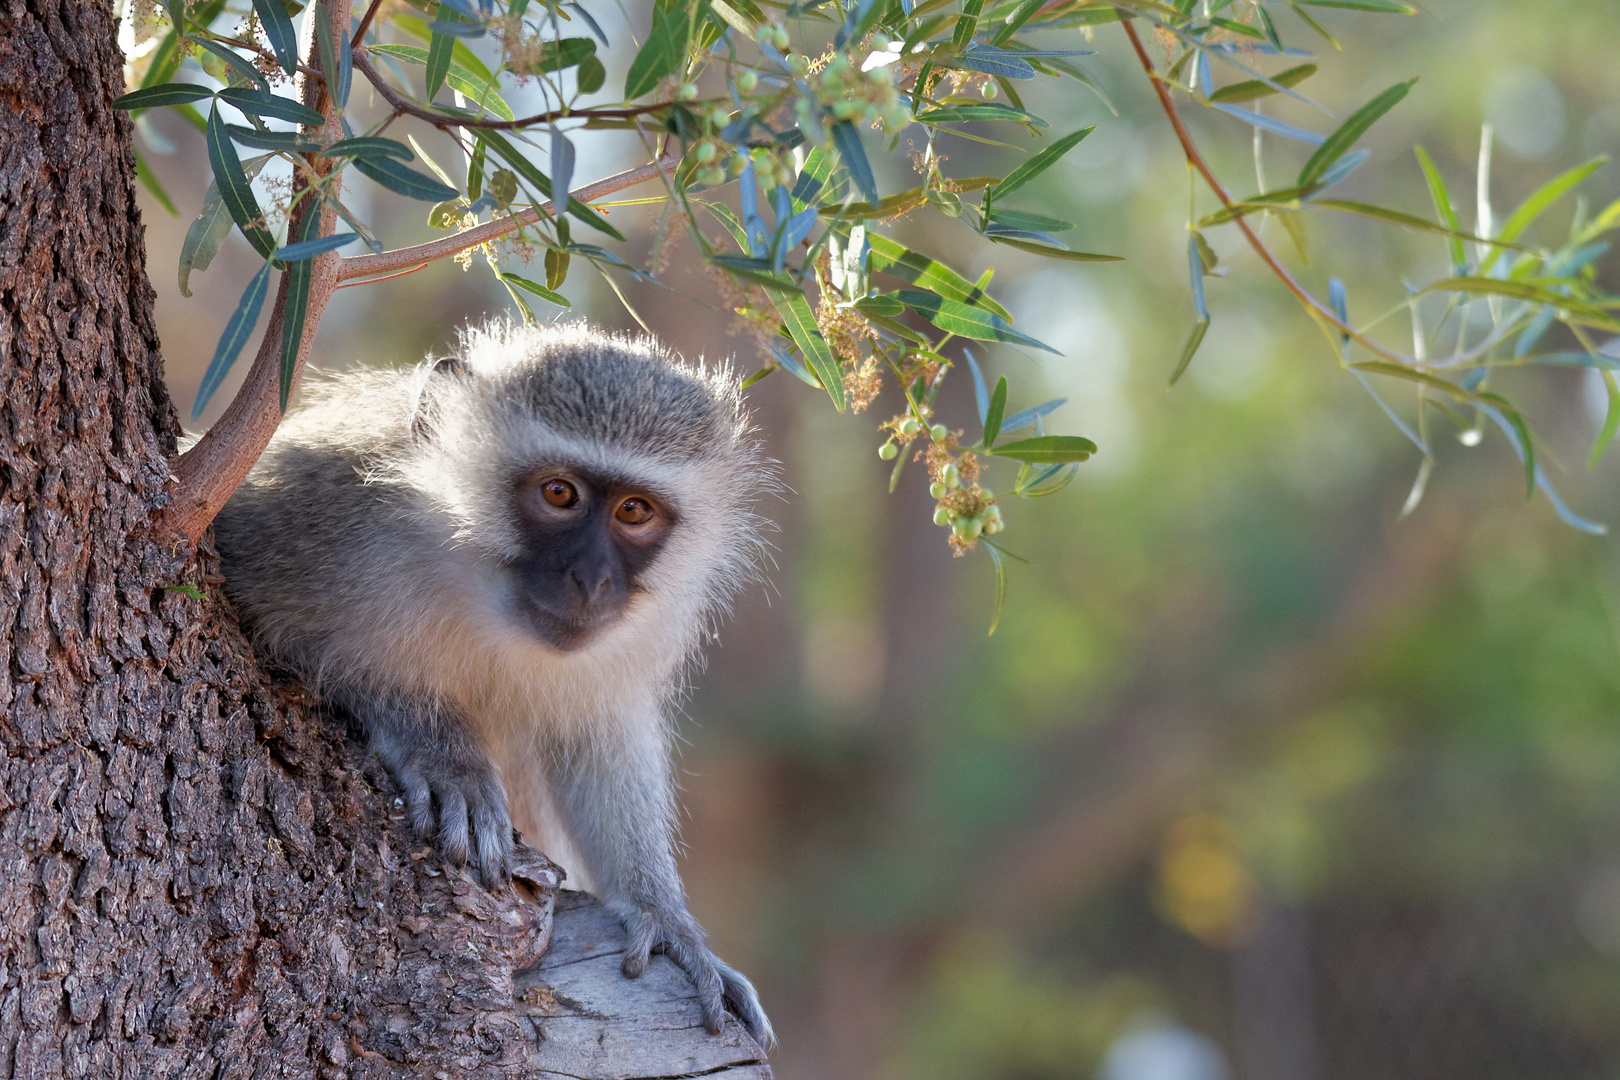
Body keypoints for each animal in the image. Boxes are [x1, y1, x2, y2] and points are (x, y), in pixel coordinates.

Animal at [217, 323, 777, 1049]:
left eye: (634, 510)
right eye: (560, 494)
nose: (591, 579)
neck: (473, 581)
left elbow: (595, 733)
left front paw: (665, 916)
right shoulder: (315, 517)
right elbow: (275, 625)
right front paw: (441, 747)